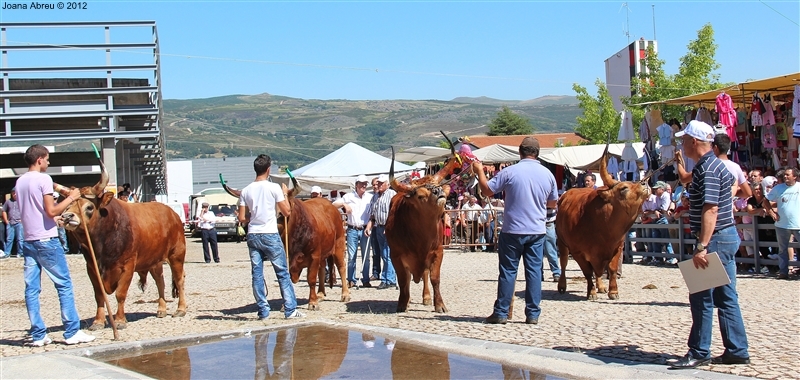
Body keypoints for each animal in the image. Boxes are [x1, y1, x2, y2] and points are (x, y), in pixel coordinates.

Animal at [57, 165, 188, 328]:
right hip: (154, 261)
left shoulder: (128, 266)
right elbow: (99, 295)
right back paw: (161, 309)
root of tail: (173, 214)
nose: (67, 216)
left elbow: (120, 293)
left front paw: (119, 320)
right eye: (68, 205)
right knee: (160, 281)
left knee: (179, 279)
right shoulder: (92, 268)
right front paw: (98, 321)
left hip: (176, 255)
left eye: (89, 207)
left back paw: (180, 309)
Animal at [556, 147, 648, 302]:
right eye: (624, 188)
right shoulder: (577, 252)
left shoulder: (617, 248)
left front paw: (613, 291)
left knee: (597, 270)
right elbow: (587, 272)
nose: (645, 183)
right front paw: (591, 292)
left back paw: (601, 286)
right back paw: (562, 285)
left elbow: (611, 269)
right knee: (563, 262)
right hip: (562, 243)